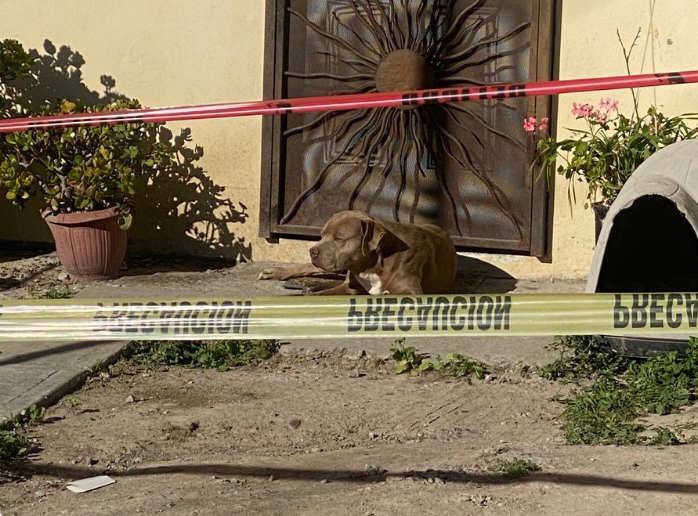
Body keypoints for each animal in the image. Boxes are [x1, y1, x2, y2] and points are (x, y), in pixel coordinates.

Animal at [256, 210, 456, 296]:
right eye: (322, 235)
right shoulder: (350, 287)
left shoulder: (411, 291)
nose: (312, 250)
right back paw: (277, 273)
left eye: (339, 239)